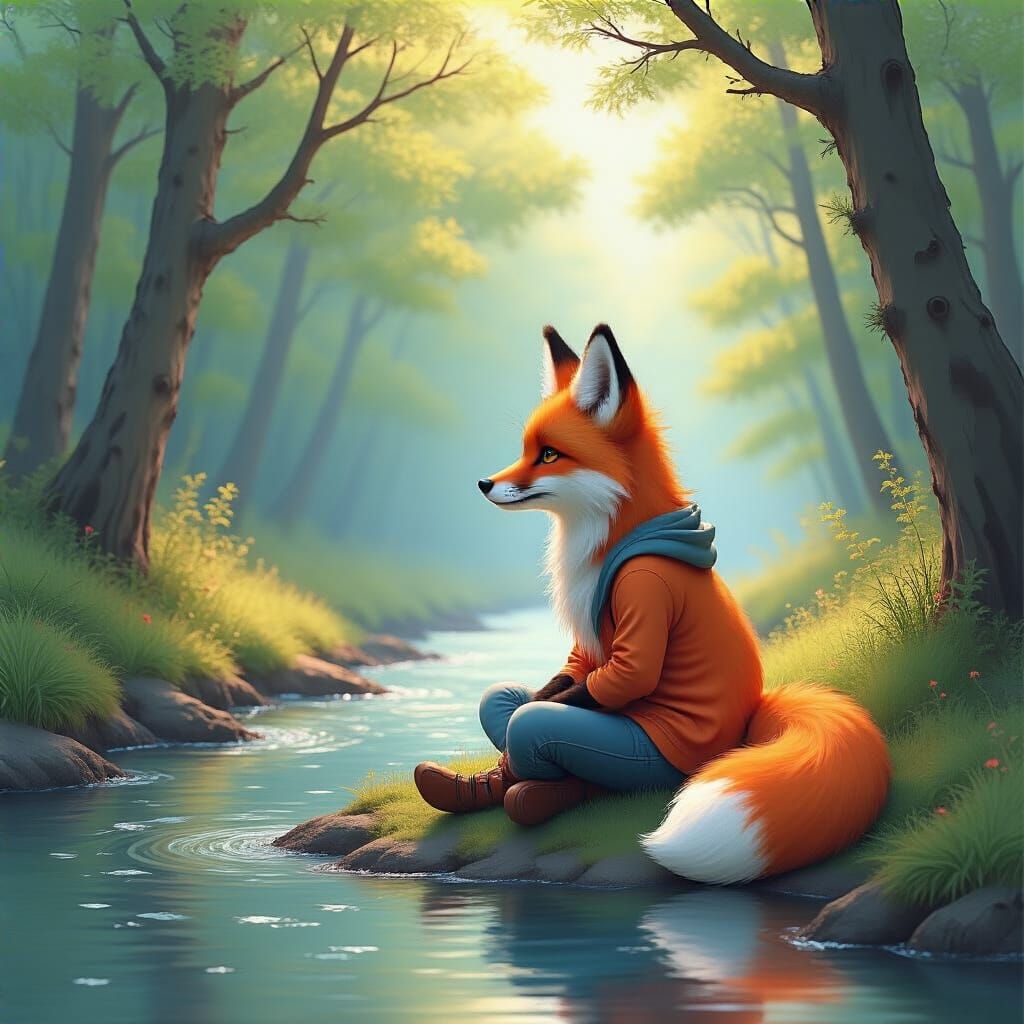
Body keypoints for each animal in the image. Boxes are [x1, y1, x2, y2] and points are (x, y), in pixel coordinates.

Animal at [476, 322, 890, 884]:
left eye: (549, 454)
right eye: (526, 449)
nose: (483, 483)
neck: (618, 535)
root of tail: (752, 710)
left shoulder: (641, 600)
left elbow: (586, 690)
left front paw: (512, 772)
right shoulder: (585, 652)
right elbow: (553, 684)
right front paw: (491, 775)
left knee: (529, 723)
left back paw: (537, 794)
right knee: (503, 701)